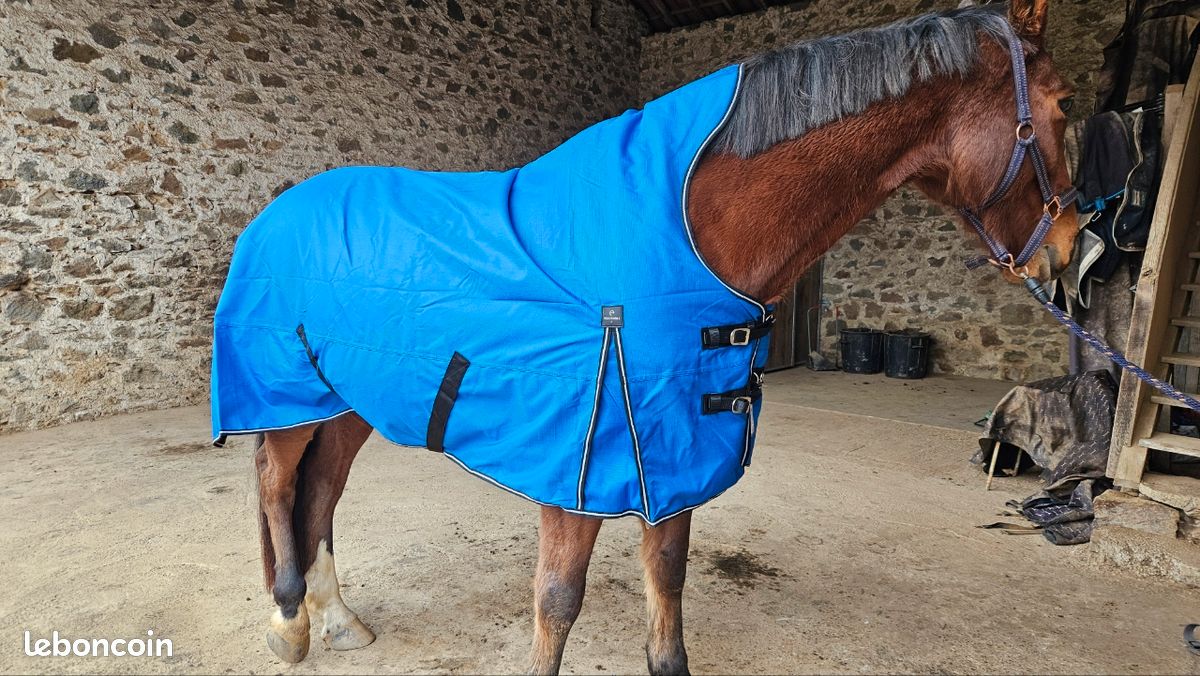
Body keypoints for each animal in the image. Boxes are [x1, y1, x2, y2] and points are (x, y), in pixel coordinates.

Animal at [225, 0, 1079, 672]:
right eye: (1066, 104)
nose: (1072, 248)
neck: (686, 230)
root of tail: (278, 210)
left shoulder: (672, 461)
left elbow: (666, 585)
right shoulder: (576, 467)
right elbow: (557, 602)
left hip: (350, 401)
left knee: (321, 493)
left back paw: (339, 621)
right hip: (290, 396)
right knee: (276, 484)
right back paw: (289, 623)